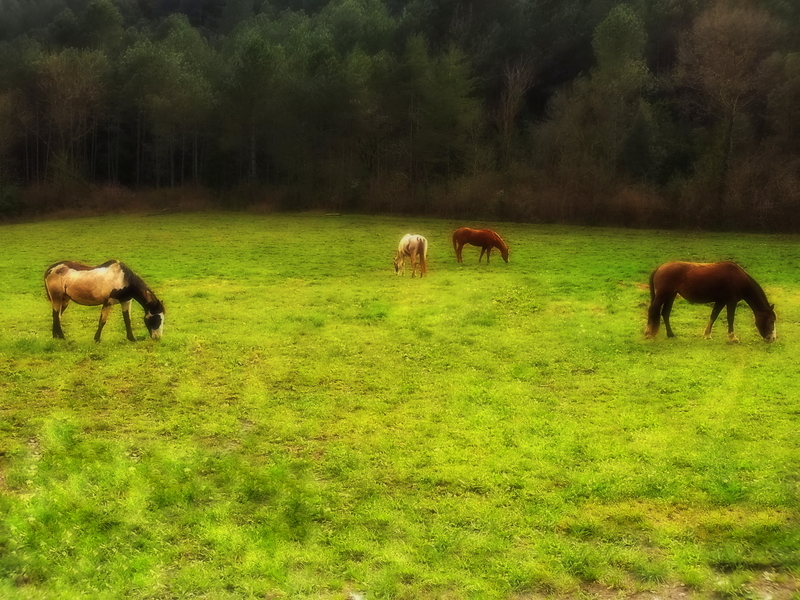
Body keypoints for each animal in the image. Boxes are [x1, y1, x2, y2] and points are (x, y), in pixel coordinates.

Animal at [645, 261, 776, 343]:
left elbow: (714, 316)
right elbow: (730, 318)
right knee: (652, 310)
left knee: (665, 313)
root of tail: (659, 268)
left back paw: (670, 334)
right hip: (663, 295)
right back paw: (648, 333)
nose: (772, 338)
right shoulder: (731, 301)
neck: (739, 278)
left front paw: (707, 335)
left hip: (670, 296)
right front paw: (733, 338)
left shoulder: (721, 301)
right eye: (771, 320)